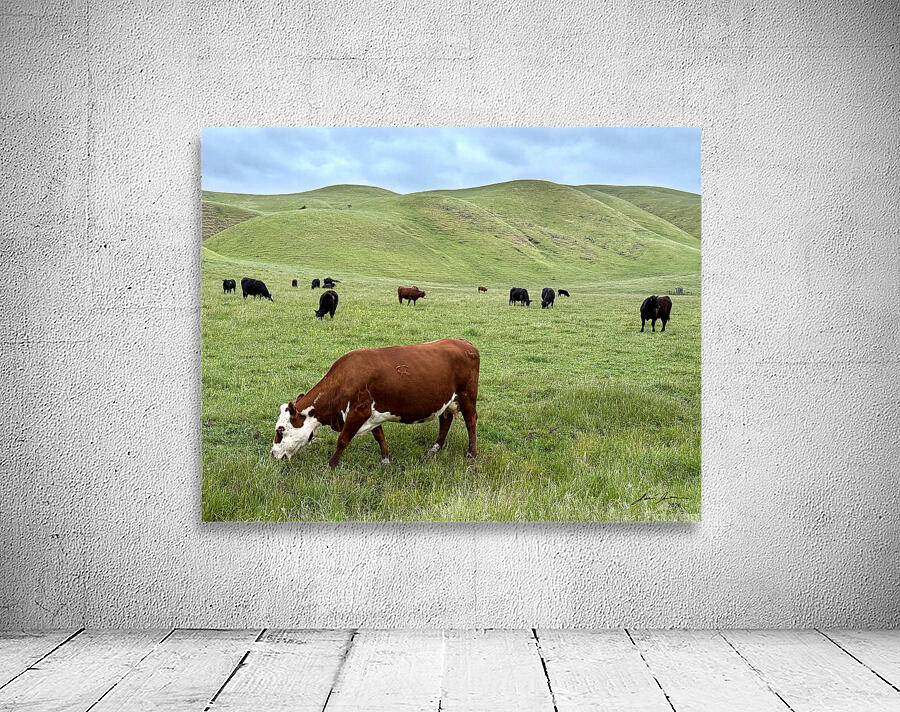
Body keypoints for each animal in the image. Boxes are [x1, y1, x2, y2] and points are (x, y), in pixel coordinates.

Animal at [270, 338, 480, 467]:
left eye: (280, 430)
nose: (272, 454)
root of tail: (464, 343)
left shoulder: (358, 411)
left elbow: (342, 440)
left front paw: (330, 465)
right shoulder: (370, 413)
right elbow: (379, 436)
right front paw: (386, 459)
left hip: (468, 396)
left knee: (471, 422)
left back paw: (472, 454)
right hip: (447, 400)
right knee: (445, 420)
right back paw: (435, 448)